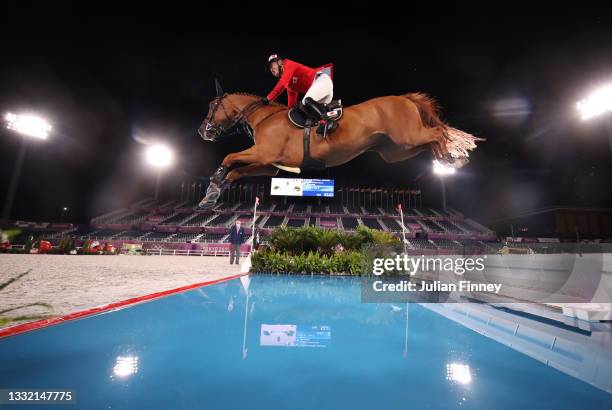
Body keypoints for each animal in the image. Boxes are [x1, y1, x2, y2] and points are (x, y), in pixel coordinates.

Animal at [196, 81, 482, 208]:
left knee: (437, 132)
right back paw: (446, 157)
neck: (263, 117)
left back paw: (455, 156)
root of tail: (404, 98)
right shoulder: (270, 165)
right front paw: (212, 194)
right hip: (396, 149)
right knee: (430, 141)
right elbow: (236, 170)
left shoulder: (263, 153)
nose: (202, 131)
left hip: (407, 137)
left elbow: (229, 157)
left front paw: (214, 182)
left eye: (212, 106)